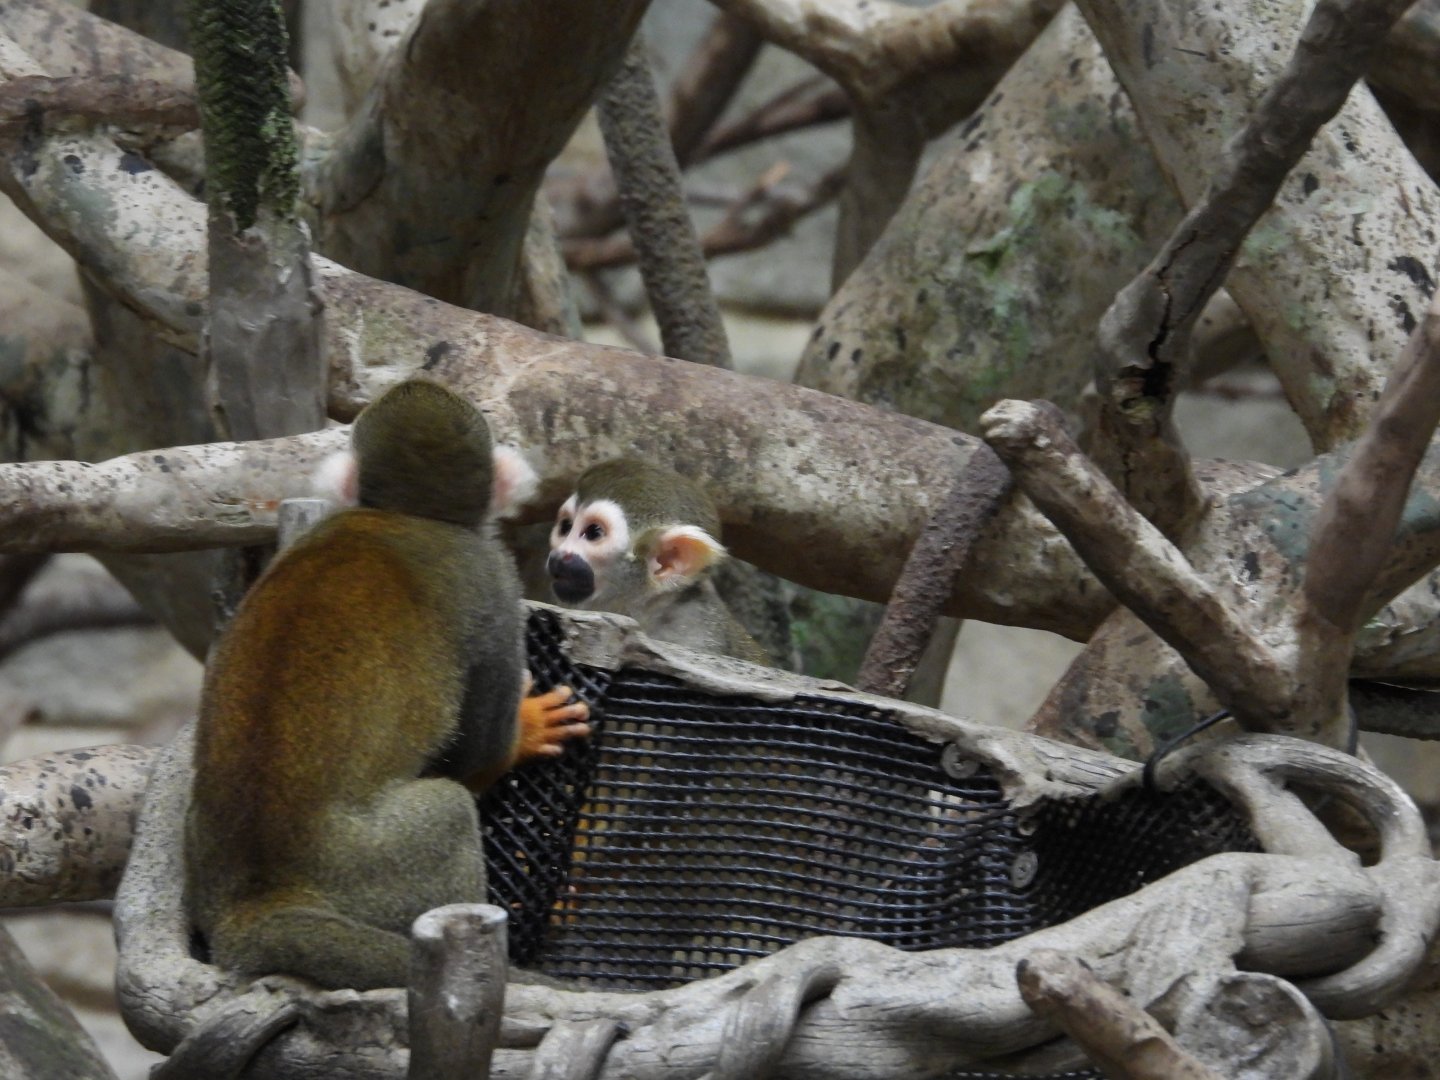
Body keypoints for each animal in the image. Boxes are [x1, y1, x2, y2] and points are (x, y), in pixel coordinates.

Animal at [184, 379, 591, 991]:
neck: (405, 514)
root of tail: (261, 902)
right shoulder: (494, 583)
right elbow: (477, 752)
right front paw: (527, 731)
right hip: (374, 874)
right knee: (448, 809)